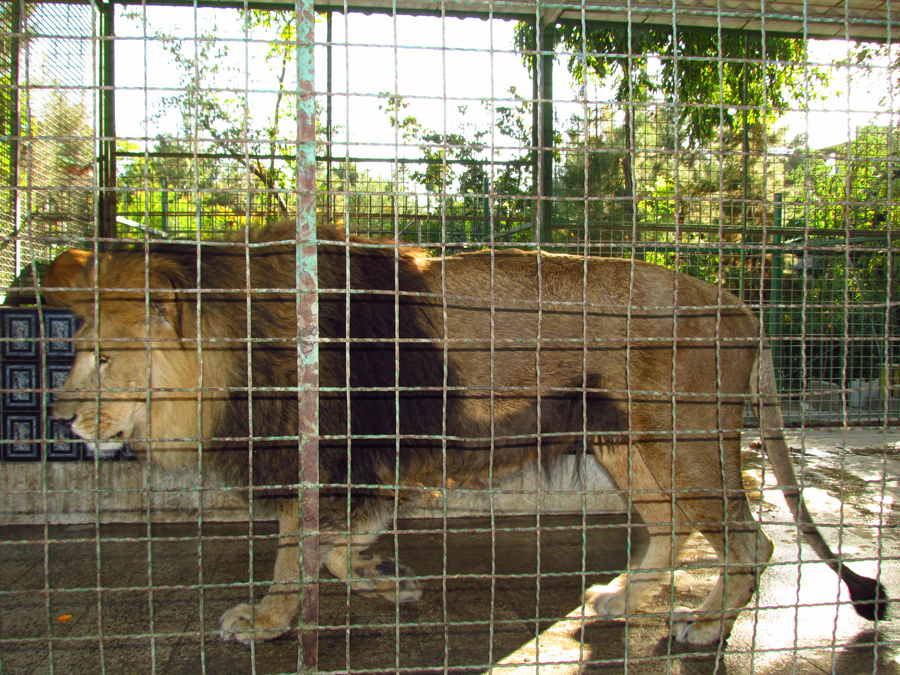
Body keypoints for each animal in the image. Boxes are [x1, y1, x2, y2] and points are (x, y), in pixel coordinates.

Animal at [44, 220, 886, 646]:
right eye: (76, 344)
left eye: (106, 355)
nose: (59, 416)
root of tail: (740, 304)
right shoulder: (376, 464)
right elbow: (339, 545)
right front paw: (387, 580)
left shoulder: (329, 454)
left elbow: (295, 549)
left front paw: (268, 619)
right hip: (628, 444)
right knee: (675, 526)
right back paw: (620, 600)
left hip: (684, 438)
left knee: (752, 540)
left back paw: (702, 626)